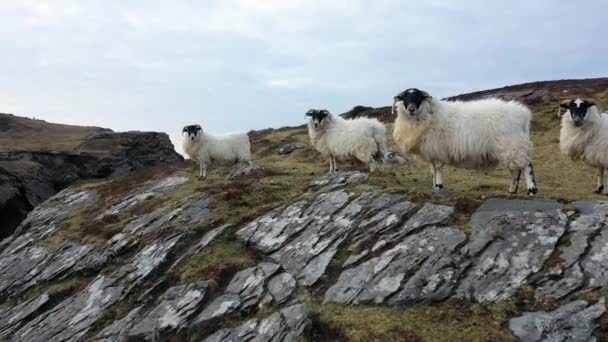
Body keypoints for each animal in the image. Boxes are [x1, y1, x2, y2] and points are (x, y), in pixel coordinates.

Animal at [390, 87, 536, 195]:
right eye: (404, 97)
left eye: (419, 97)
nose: (411, 109)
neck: (429, 114)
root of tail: (523, 114)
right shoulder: (430, 151)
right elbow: (432, 170)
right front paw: (434, 186)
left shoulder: (438, 149)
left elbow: (438, 168)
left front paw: (439, 186)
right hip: (510, 148)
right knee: (515, 170)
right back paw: (512, 190)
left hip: (513, 144)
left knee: (526, 166)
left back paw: (531, 190)